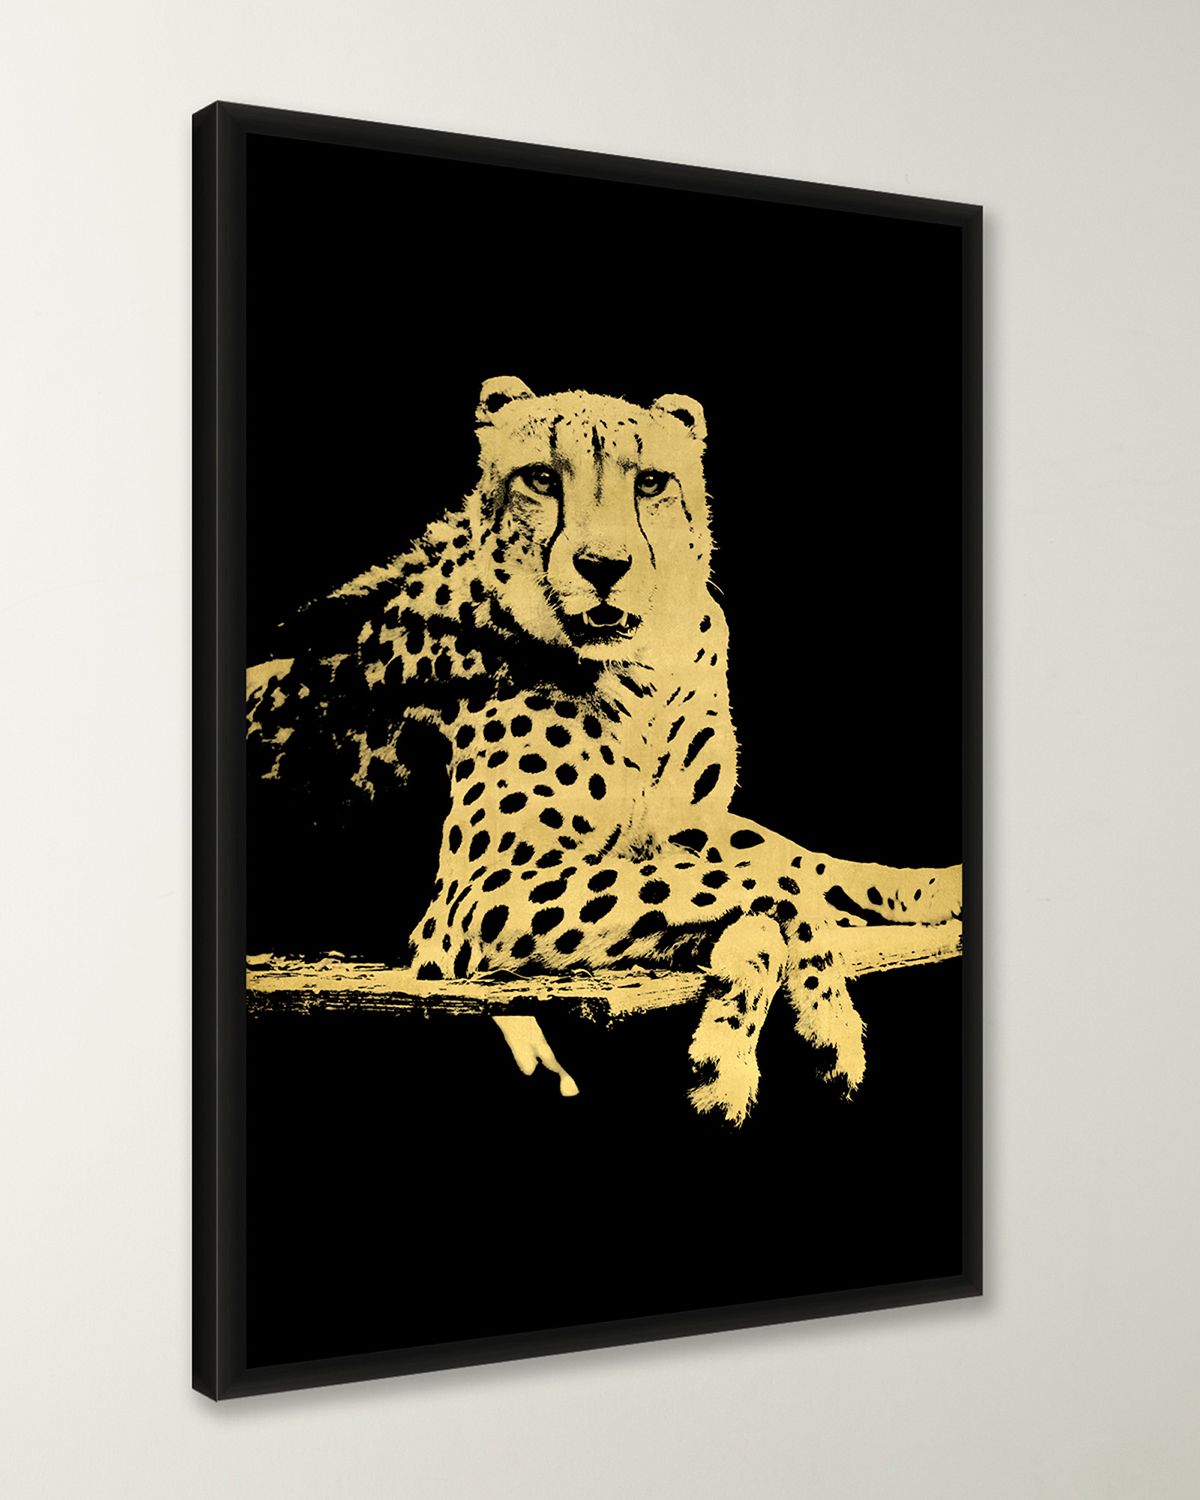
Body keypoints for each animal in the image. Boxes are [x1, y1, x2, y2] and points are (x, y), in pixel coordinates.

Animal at [247, 376, 963, 1124]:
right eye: (541, 478)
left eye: (650, 482)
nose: (603, 566)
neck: (645, 669)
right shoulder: (481, 892)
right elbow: (763, 887)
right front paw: (817, 1028)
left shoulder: (687, 829)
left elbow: (788, 863)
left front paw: (923, 888)